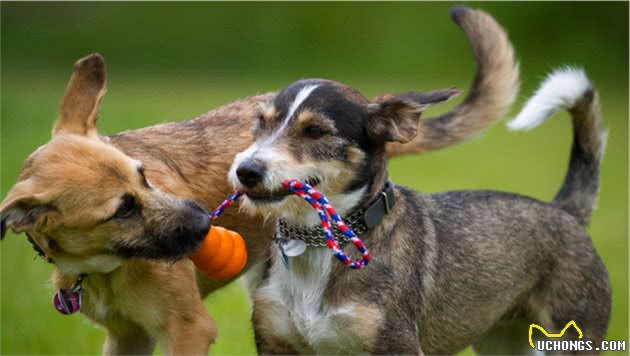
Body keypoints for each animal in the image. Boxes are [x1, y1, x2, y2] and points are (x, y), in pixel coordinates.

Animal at [232, 6, 612, 354]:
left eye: (315, 131)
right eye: (261, 123)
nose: (245, 171)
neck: (316, 245)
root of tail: (564, 210)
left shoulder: (397, 345)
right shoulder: (275, 342)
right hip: (504, 341)